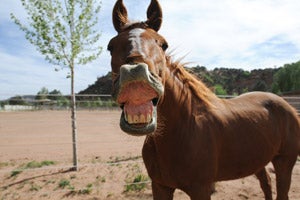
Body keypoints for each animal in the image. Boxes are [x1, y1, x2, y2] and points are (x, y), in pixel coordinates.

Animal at [108, 0, 300, 199]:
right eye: (111, 46)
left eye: (163, 44)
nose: (135, 76)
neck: (181, 130)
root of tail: (288, 107)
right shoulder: (160, 186)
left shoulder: (200, 189)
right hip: (258, 160)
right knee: (266, 184)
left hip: (284, 162)